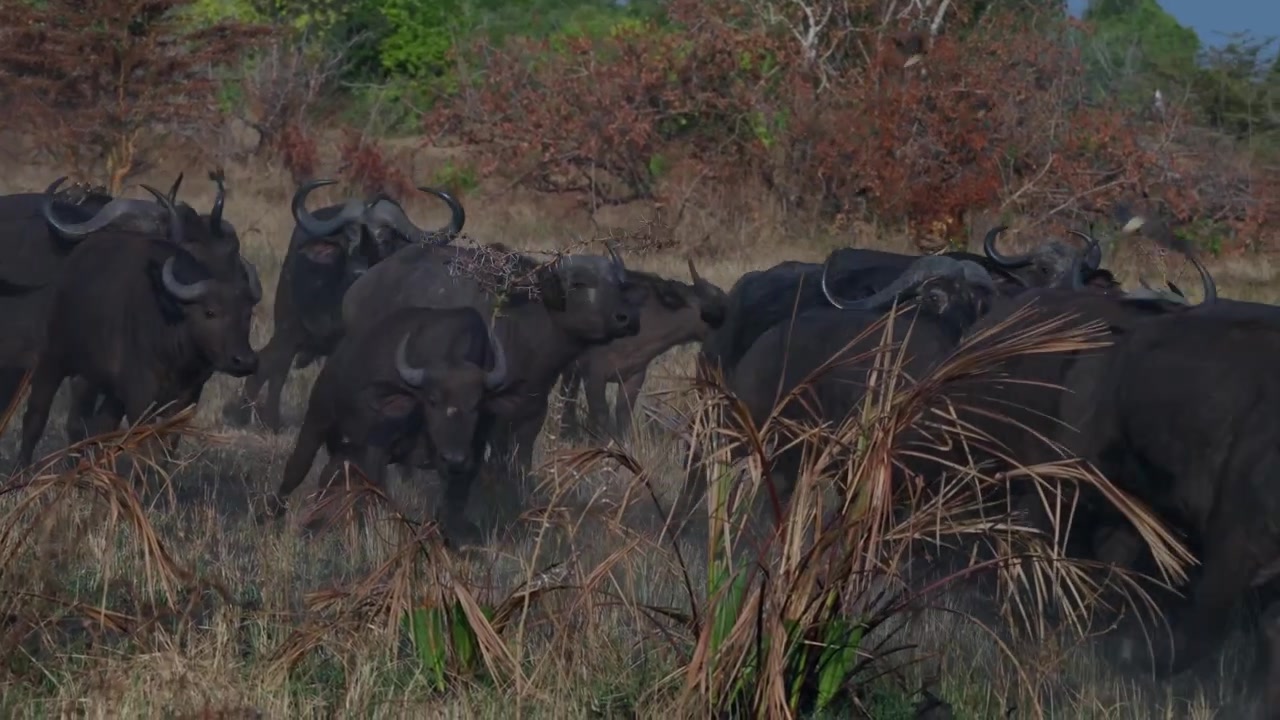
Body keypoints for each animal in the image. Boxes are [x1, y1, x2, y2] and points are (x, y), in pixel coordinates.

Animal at [14, 185, 263, 471]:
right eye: (210, 312)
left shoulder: (185, 399)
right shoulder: (139, 396)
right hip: (53, 359)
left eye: (248, 315)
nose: (244, 360)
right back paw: (22, 471)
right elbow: (143, 448)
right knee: (36, 416)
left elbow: (163, 449)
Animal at [222, 178, 466, 433]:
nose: (358, 271)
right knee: (276, 368)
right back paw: (266, 420)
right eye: (349, 237)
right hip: (287, 328)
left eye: (385, 238)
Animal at [265, 305, 507, 542]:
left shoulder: (470, 461)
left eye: (477, 404)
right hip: (318, 417)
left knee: (332, 472)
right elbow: (373, 493)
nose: (454, 458)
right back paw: (273, 514)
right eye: (432, 400)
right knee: (298, 467)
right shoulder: (375, 449)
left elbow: (453, 506)